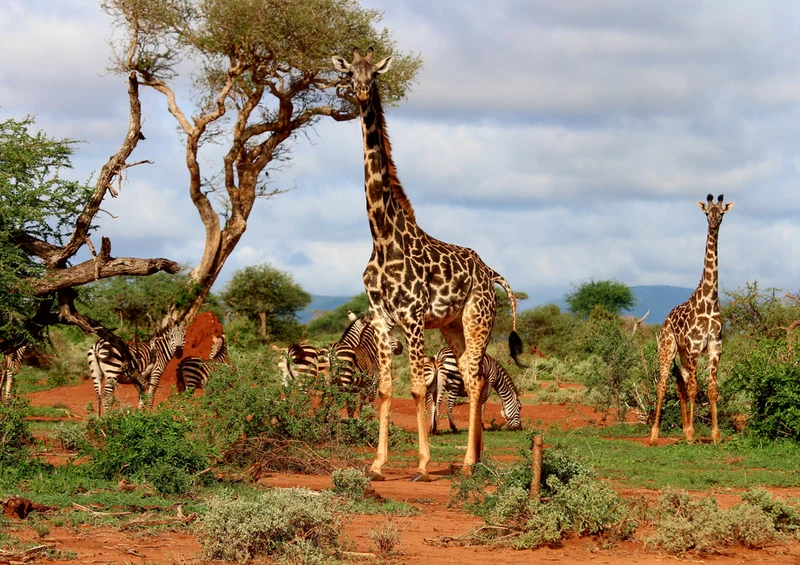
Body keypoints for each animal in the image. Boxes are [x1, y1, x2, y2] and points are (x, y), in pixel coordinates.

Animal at [332, 48, 525, 482]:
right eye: (350, 72)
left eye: (374, 73)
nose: (361, 92)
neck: (381, 236)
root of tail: (491, 273)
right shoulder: (382, 317)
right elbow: (386, 388)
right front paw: (377, 464)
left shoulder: (413, 316)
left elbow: (419, 388)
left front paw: (421, 464)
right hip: (453, 325)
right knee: (474, 376)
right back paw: (476, 458)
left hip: (477, 320)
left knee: (475, 379)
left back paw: (469, 461)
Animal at [649, 194, 733, 446]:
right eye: (707, 213)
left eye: (721, 213)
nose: (714, 223)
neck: (709, 301)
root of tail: (666, 319)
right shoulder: (696, 348)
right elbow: (696, 389)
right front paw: (692, 435)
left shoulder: (715, 347)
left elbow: (712, 388)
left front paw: (715, 435)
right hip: (667, 348)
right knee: (663, 385)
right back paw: (655, 434)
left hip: (684, 355)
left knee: (681, 384)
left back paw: (685, 428)